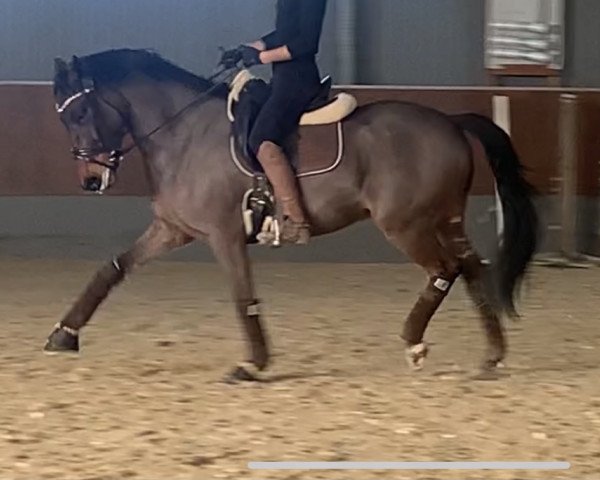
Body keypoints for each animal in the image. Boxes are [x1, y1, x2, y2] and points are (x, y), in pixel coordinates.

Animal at [44, 47, 536, 378]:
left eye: (81, 112)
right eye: (64, 117)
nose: (91, 180)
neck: (184, 133)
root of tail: (451, 122)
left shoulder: (223, 234)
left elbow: (242, 295)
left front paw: (252, 364)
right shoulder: (172, 229)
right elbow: (112, 268)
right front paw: (64, 334)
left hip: (405, 224)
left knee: (445, 269)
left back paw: (414, 343)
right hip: (444, 218)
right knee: (472, 267)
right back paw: (491, 356)